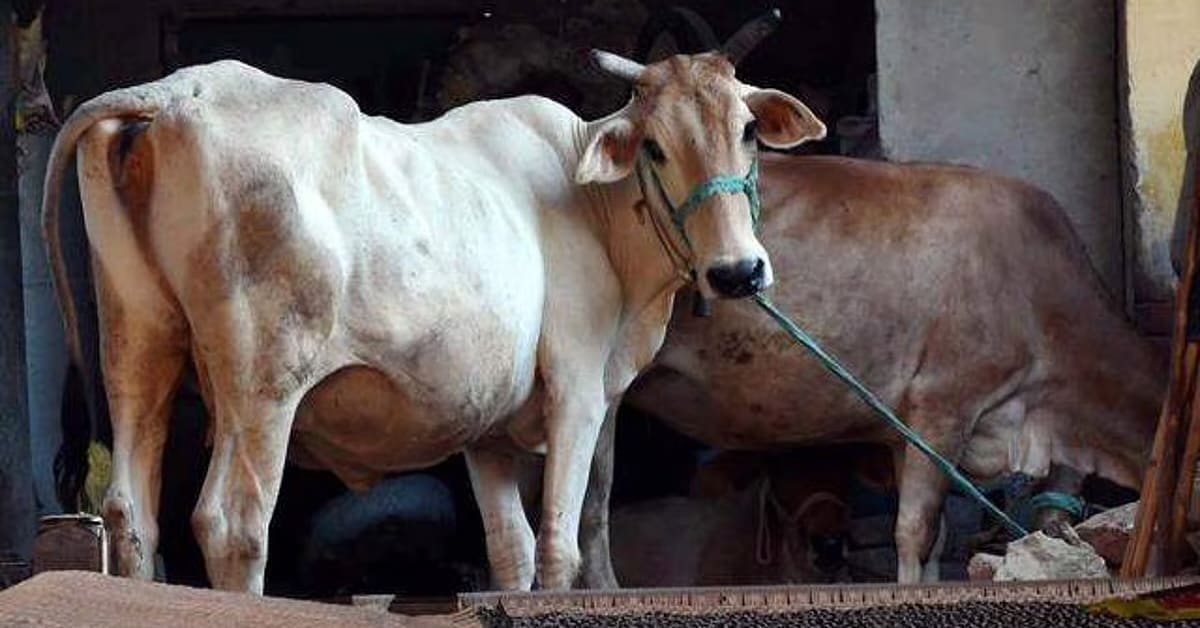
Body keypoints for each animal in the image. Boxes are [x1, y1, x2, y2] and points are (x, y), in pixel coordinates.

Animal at [41, 22, 825, 591]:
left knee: (131, 515)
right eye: (656, 147)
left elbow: (510, 553)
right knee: (234, 524)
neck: (593, 206)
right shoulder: (577, 389)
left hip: (137, 344)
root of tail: (176, 92)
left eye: (748, 131)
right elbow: (561, 549)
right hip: (262, 381)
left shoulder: (488, 428)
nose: (738, 272)